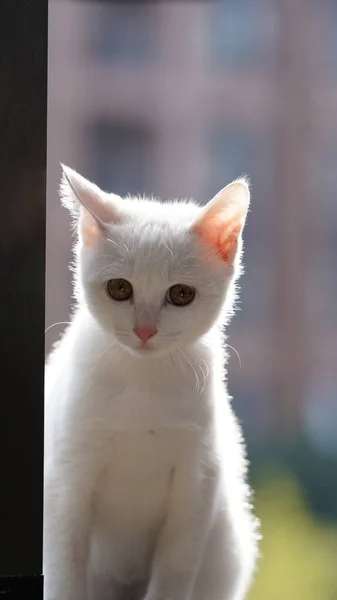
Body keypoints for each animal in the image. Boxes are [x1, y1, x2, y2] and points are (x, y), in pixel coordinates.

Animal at [43, 166, 258, 600]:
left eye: (181, 294)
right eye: (119, 288)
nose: (144, 330)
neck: (143, 382)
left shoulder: (197, 482)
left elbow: (174, 569)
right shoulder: (66, 477)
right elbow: (65, 570)